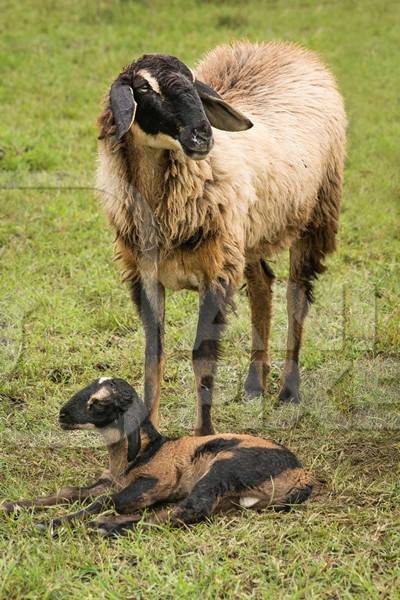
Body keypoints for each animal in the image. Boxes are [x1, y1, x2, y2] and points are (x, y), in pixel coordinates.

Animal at [0, 376, 312, 536]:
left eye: (99, 402)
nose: (62, 415)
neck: (145, 452)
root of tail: (302, 477)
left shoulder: (154, 482)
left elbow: (109, 501)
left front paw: (51, 523)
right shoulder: (108, 481)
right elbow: (70, 491)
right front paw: (13, 506)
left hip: (226, 468)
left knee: (190, 509)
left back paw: (104, 526)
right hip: (231, 499)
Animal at [95, 41, 346, 436]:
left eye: (193, 83)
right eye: (145, 88)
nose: (203, 135)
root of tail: (285, 48)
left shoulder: (215, 272)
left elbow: (202, 355)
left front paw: (204, 435)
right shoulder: (146, 275)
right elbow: (153, 353)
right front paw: (149, 432)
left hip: (315, 214)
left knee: (296, 297)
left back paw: (289, 391)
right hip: (247, 236)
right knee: (262, 287)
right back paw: (254, 385)